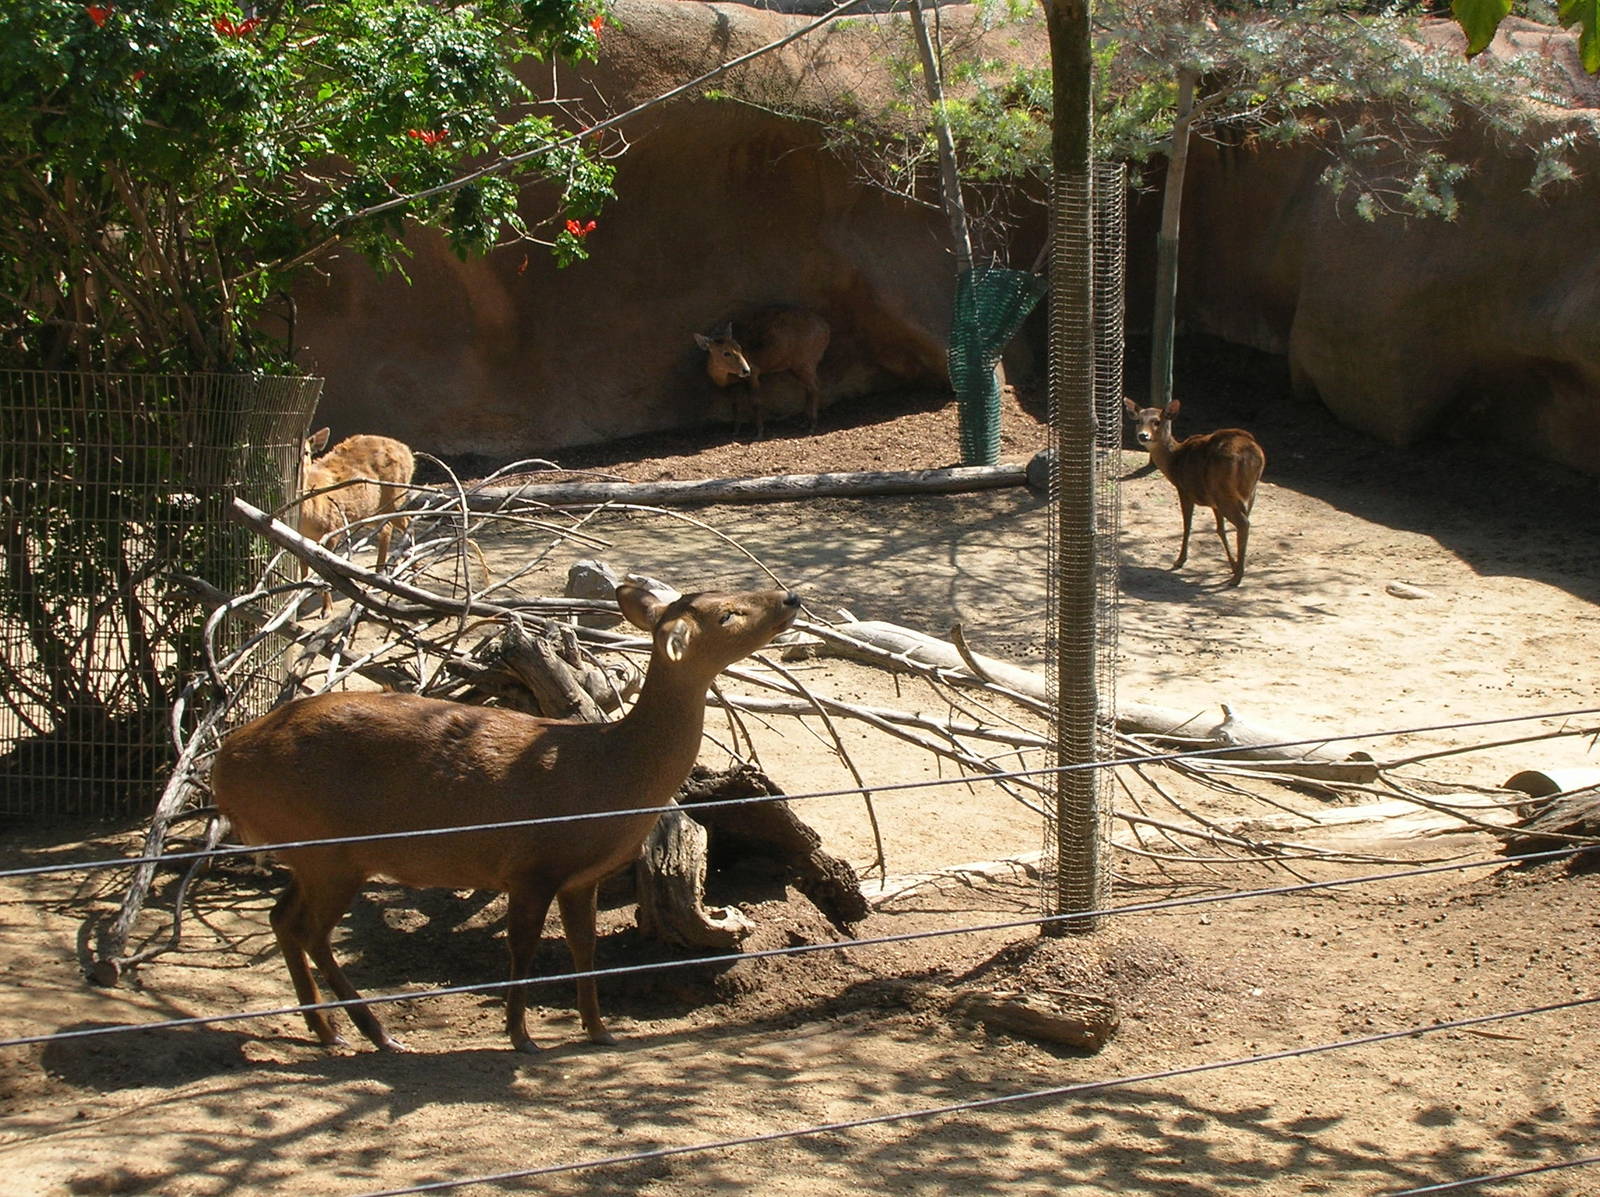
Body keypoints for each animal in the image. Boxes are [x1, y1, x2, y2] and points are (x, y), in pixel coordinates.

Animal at [209, 582, 802, 1054]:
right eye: (727, 614)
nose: (790, 597)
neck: (610, 776)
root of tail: (221, 765)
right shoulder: (530, 863)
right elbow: (523, 946)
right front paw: (521, 1036)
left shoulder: (580, 875)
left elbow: (584, 946)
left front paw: (598, 1029)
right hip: (332, 851)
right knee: (310, 931)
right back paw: (376, 1033)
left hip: (309, 854)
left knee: (282, 918)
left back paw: (327, 1030)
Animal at [296, 428, 416, 612]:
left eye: (308, 452)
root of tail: (407, 451)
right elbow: (303, 569)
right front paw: (301, 606)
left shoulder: (334, 527)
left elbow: (324, 571)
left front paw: (327, 610)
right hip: (374, 509)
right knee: (387, 527)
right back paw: (378, 574)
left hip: (394, 496)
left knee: (407, 521)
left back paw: (412, 571)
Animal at [694, 306, 831, 440]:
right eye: (725, 353)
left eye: (739, 348)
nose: (746, 370)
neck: (723, 377)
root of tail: (826, 330)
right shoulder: (733, 384)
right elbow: (735, 405)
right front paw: (735, 431)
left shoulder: (755, 372)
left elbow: (755, 402)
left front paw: (759, 432)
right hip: (797, 366)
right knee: (809, 388)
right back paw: (804, 422)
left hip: (805, 361)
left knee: (815, 387)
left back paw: (812, 425)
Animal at [1123, 397, 1266, 587]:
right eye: (1138, 420)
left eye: (1157, 421)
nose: (1143, 435)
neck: (1174, 461)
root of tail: (1250, 456)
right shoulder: (1213, 502)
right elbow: (1220, 529)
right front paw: (1232, 564)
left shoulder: (1184, 489)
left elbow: (1187, 525)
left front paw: (1179, 560)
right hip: (1248, 493)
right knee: (1245, 522)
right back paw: (1238, 571)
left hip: (1223, 491)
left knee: (1243, 523)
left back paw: (1237, 578)